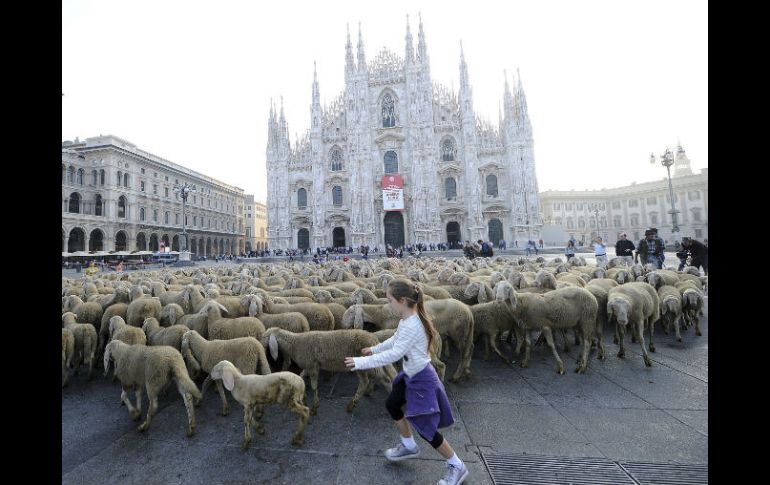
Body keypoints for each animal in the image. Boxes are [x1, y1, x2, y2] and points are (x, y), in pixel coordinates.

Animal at [264, 326, 396, 412]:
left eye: (265, 336)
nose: (259, 340)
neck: (295, 343)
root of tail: (373, 338)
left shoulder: (312, 366)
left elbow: (314, 386)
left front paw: (315, 405)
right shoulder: (309, 365)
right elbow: (301, 376)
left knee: (379, 380)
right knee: (372, 380)